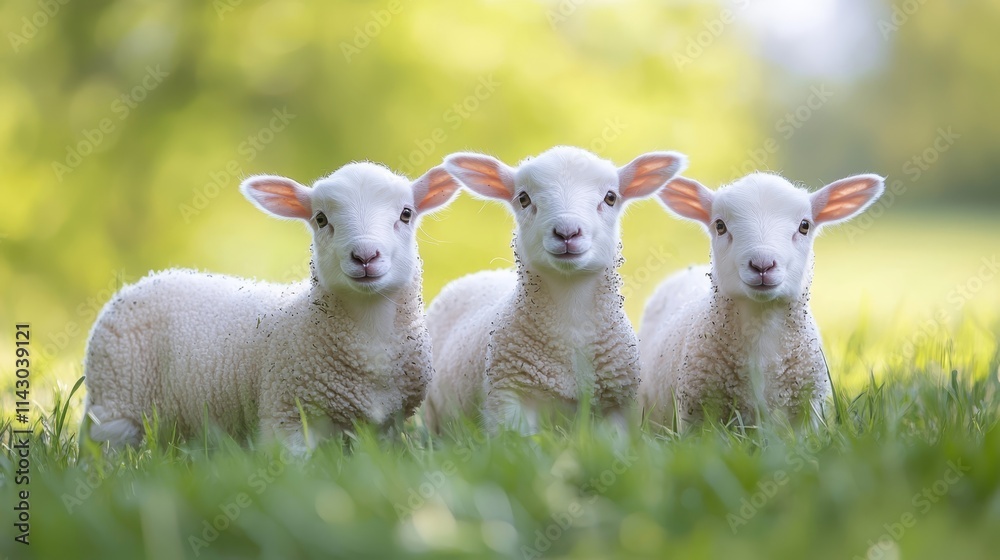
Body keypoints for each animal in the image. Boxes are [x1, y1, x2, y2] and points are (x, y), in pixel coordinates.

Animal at [81, 162, 461, 454]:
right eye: (320, 219)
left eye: (406, 214)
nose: (365, 256)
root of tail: (145, 280)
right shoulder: (287, 415)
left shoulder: (386, 426)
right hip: (116, 406)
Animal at [638, 171, 885, 429]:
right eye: (720, 225)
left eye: (804, 226)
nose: (762, 264)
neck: (761, 323)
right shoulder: (695, 412)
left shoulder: (806, 412)